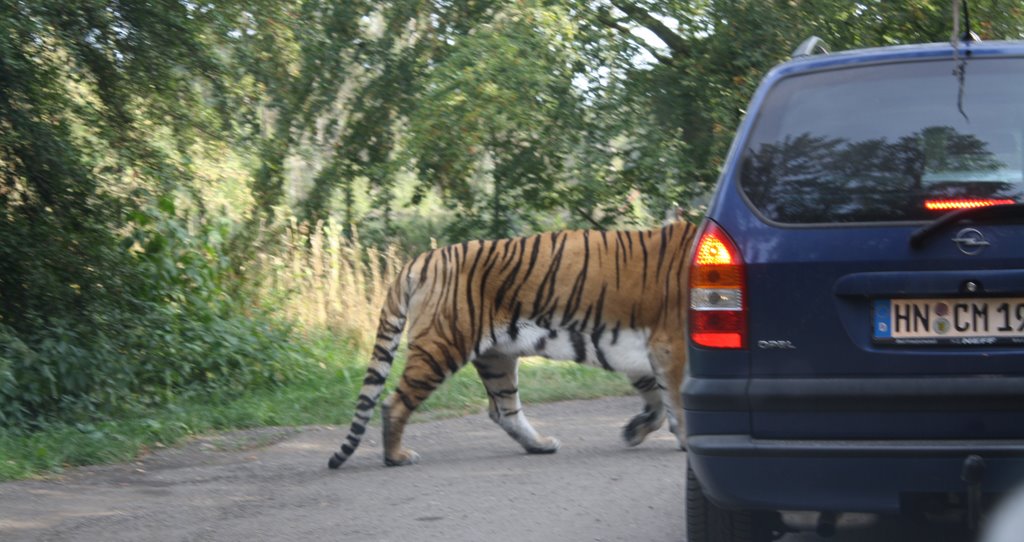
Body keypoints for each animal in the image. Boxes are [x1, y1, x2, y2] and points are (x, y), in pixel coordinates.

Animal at [327, 219, 696, 469]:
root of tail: (420, 260)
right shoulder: (670, 345)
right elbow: (676, 401)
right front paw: (687, 441)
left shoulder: (639, 353)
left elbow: (658, 402)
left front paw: (634, 430)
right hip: (441, 348)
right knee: (395, 404)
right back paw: (396, 457)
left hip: (496, 357)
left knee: (503, 410)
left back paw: (540, 445)